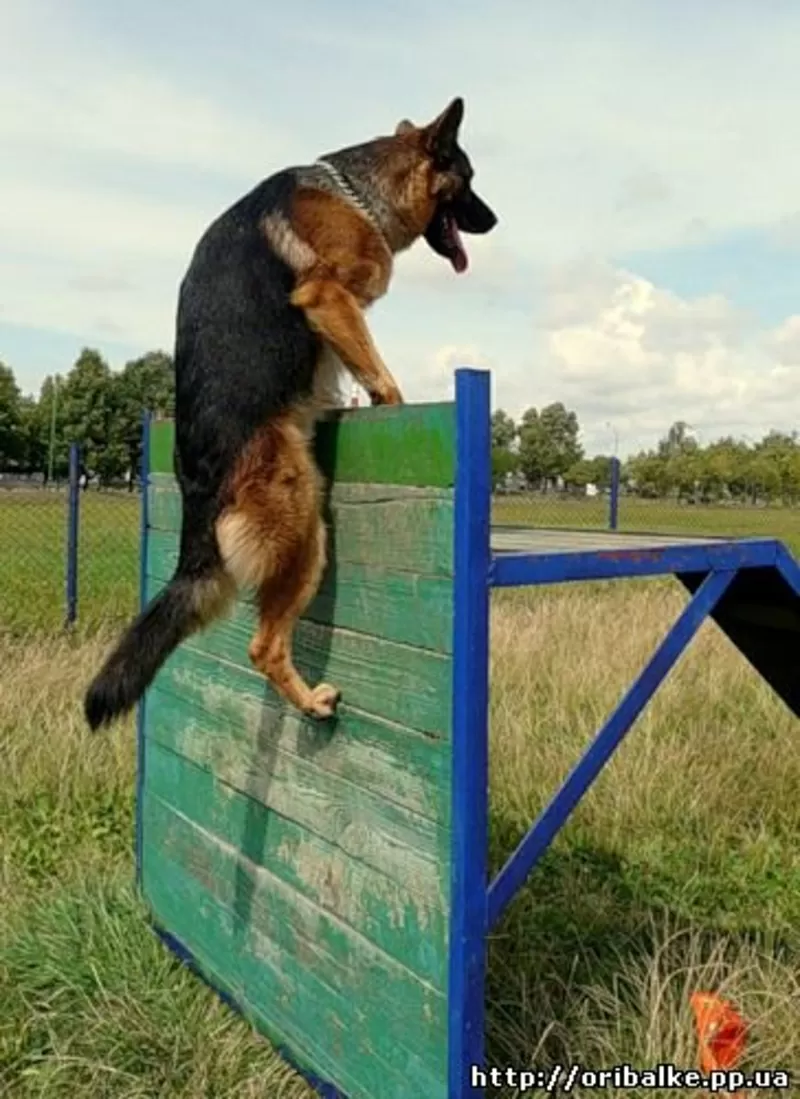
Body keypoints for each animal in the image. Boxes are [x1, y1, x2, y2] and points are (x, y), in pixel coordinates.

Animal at [84, 96, 496, 729]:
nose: (494, 220)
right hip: (303, 523)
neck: (356, 190)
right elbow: (380, 373)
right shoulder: (327, 297)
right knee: (264, 645)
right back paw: (312, 703)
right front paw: (395, 406)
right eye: (469, 180)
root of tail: (202, 490)